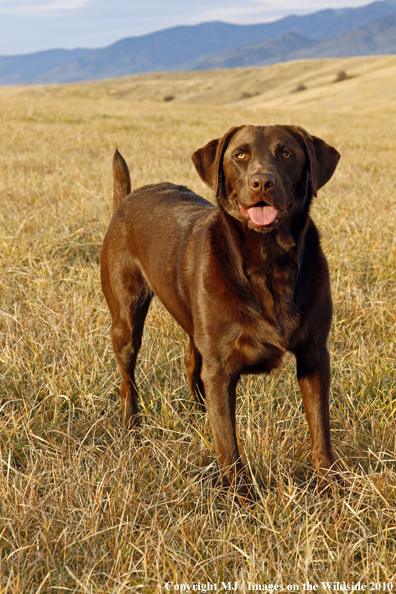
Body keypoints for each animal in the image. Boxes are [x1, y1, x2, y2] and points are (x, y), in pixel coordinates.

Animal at [100, 125, 338, 500]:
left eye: (287, 153)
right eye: (240, 155)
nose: (261, 182)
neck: (268, 260)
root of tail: (126, 200)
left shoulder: (314, 355)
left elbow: (320, 431)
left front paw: (330, 488)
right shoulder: (222, 369)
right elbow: (228, 442)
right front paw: (241, 499)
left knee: (191, 361)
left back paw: (198, 414)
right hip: (126, 321)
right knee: (128, 379)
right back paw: (132, 429)